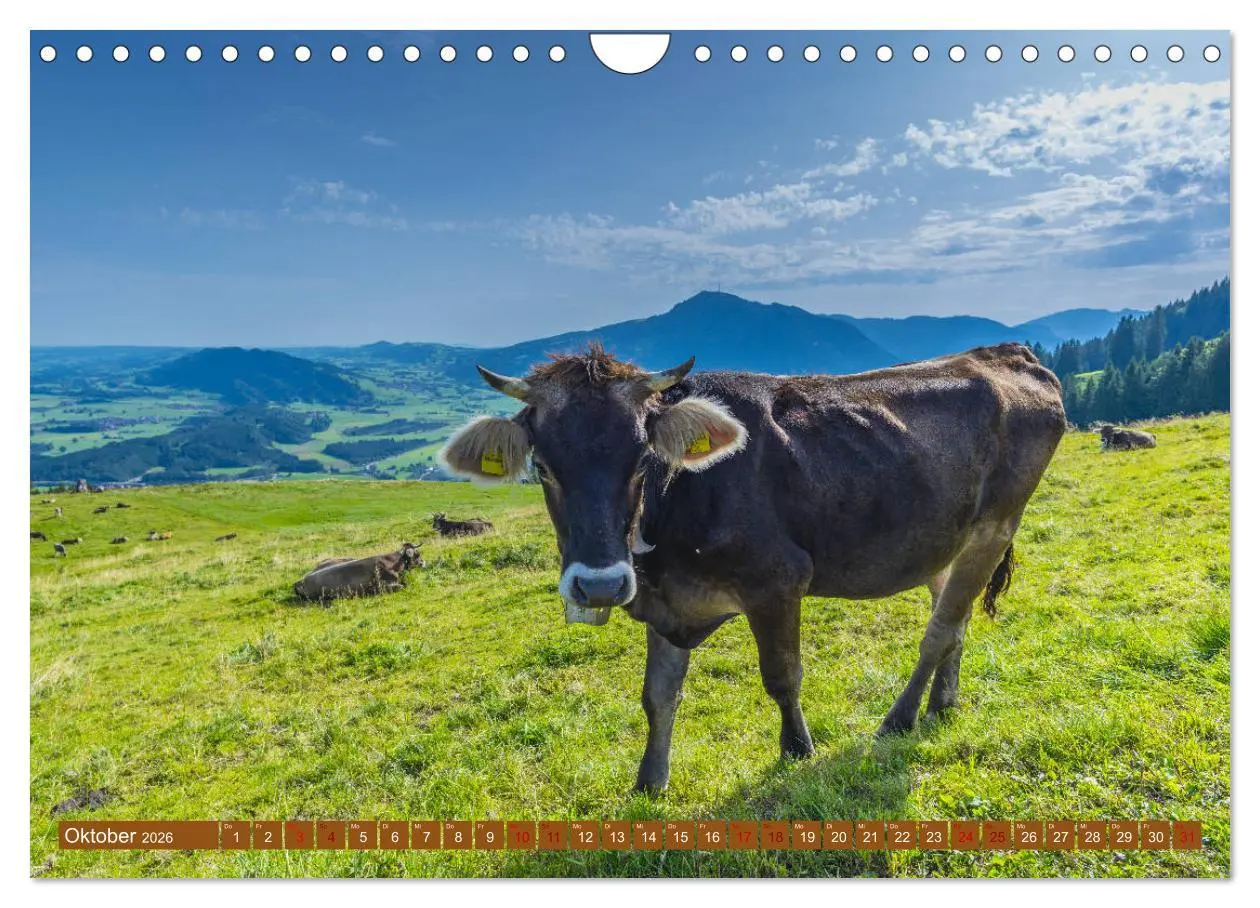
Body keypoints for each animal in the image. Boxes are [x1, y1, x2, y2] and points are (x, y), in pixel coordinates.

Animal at [440, 342, 1066, 792]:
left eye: (642, 459)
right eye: (542, 466)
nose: (599, 586)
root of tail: (1005, 352)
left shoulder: (777, 581)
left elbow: (782, 676)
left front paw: (797, 750)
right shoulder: (666, 599)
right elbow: (658, 695)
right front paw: (650, 781)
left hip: (996, 525)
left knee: (938, 630)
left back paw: (901, 718)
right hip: (948, 539)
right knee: (954, 620)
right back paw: (942, 704)